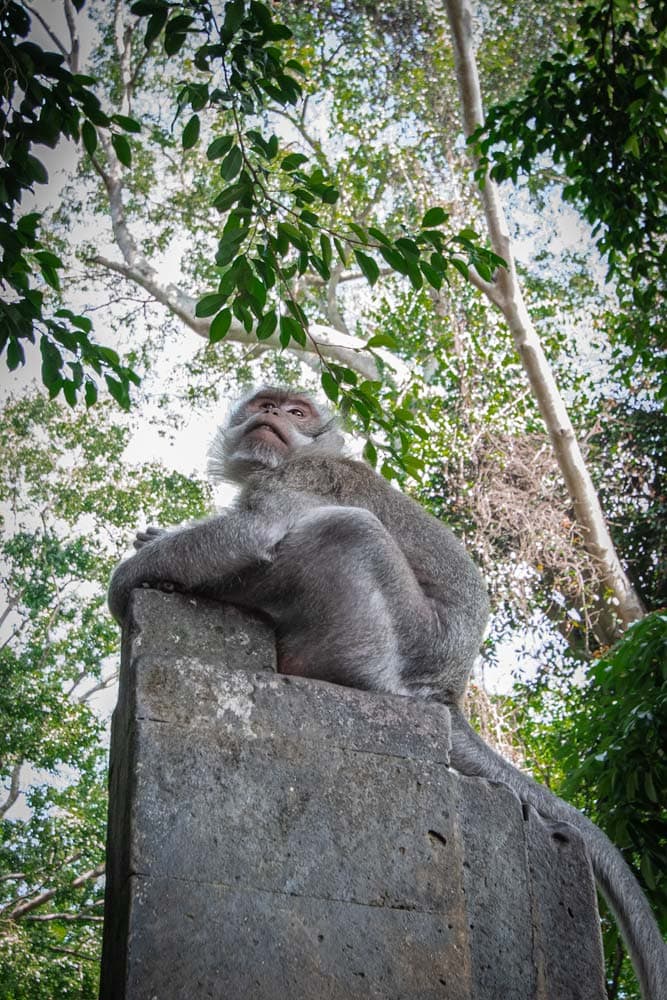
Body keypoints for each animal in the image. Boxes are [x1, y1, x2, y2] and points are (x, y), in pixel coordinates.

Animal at [109, 384, 667, 1000]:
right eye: (265, 402)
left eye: (296, 411)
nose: (271, 413)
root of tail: (448, 692)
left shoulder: (303, 477)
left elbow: (254, 532)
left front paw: (128, 576)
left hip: (388, 638)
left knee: (347, 531)